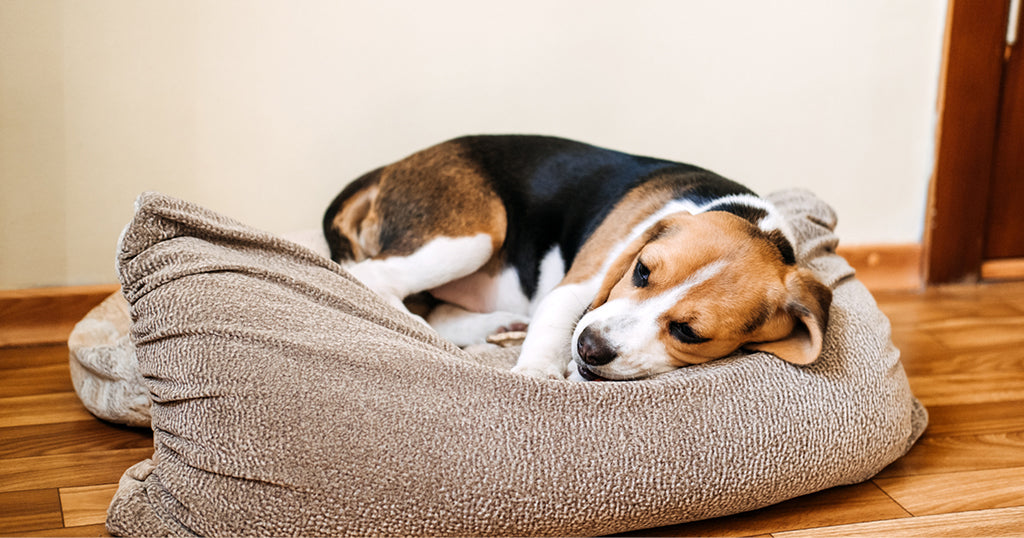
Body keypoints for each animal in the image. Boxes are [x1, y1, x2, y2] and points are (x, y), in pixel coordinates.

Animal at [323, 134, 827, 379]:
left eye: (688, 332)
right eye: (641, 271)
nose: (589, 348)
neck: (754, 223)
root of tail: (388, 169)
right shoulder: (578, 286)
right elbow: (554, 322)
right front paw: (537, 374)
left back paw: (495, 327)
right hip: (474, 235)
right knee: (373, 277)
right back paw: (419, 332)